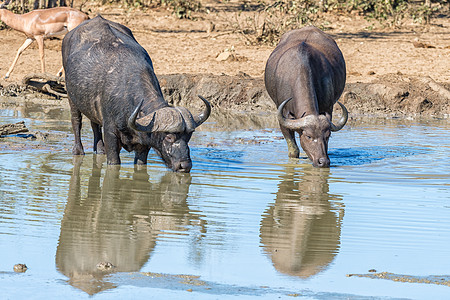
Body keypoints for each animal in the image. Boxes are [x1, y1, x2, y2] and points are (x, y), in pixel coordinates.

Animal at [62, 15, 211, 171]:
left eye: (189, 136)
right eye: (169, 137)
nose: (185, 165)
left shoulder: (143, 145)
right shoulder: (111, 135)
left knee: (94, 124)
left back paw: (100, 149)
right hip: (71, 98)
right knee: (76, 121)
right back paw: (78, 150)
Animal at [264, 26, 348, 168]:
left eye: (328, 136)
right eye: (308, 136)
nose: (323, 161)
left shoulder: (328, 108)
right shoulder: (283, 118)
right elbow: (293, 151)